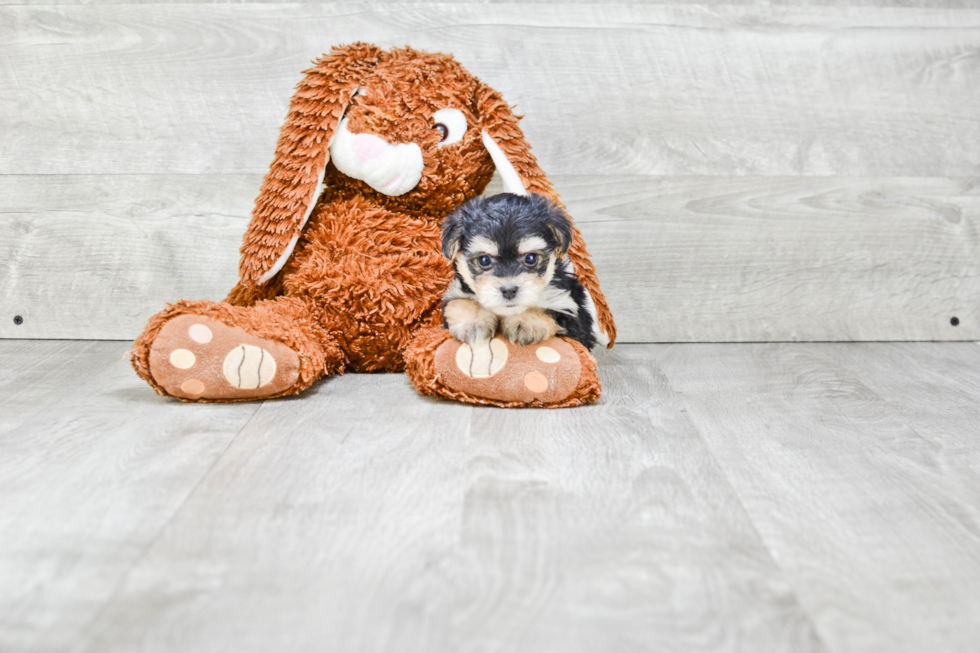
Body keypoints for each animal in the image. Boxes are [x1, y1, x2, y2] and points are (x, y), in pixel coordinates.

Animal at [438, 192, 592, 348]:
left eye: (530, 258)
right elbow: (459, 301)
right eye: (484, 260)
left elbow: (548, 309)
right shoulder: (456, 292)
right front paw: (474, 320)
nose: (509, 290)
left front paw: (525, 321)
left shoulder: (570, 311)